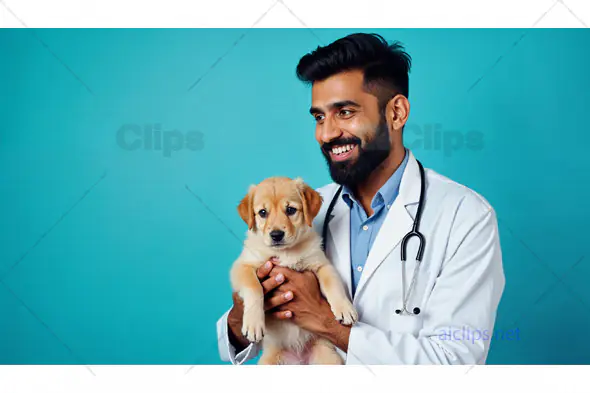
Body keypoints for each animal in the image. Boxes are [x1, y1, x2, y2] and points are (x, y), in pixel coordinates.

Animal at [230, 176, 360, 362]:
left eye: (291, 210)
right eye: (262, 212)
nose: (276, 235)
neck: (285, 252)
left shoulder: (321, 264)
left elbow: (332, 284)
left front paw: (344, 309)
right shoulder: (243, 266)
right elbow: (254, 287)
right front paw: (253, 324)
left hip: (328, 357)